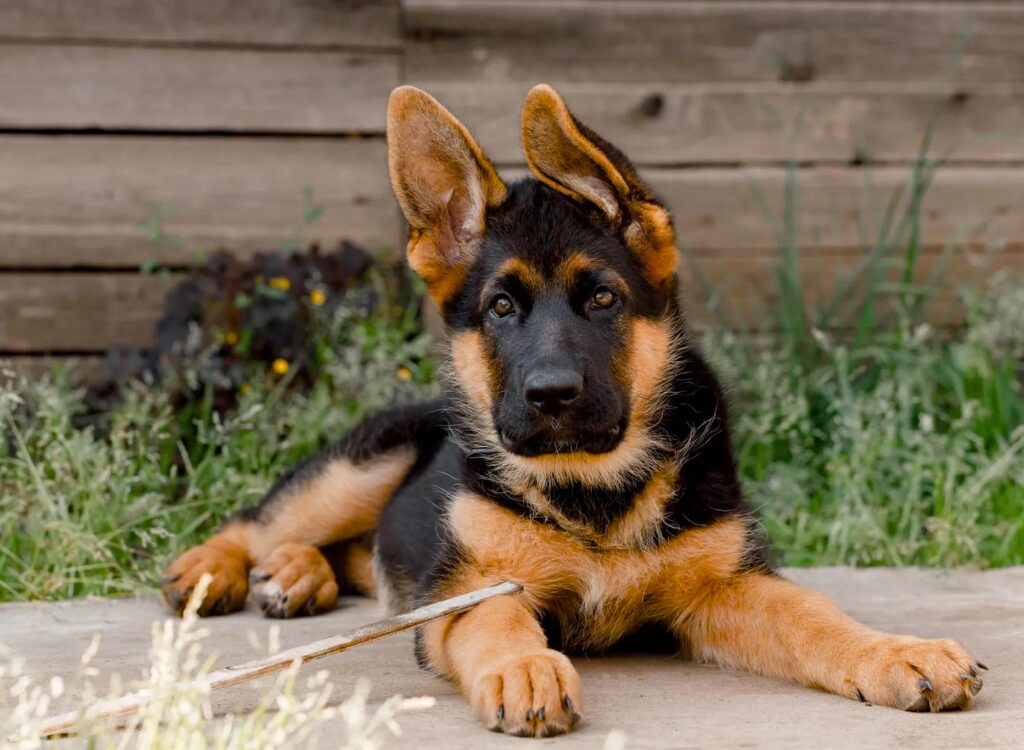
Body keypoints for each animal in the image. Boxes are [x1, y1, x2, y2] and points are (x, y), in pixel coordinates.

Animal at [165, 85, 983, 733]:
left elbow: (812, 615)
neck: (593, 488)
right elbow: (498, 619)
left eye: (603, 299)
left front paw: (896, 652)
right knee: (265, 522)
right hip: (367, 461)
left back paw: (300, 576)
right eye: (500, 308)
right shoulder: (468, 585)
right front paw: (525, 669)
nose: (551, 395)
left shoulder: (724, 585)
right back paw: (217, 572)